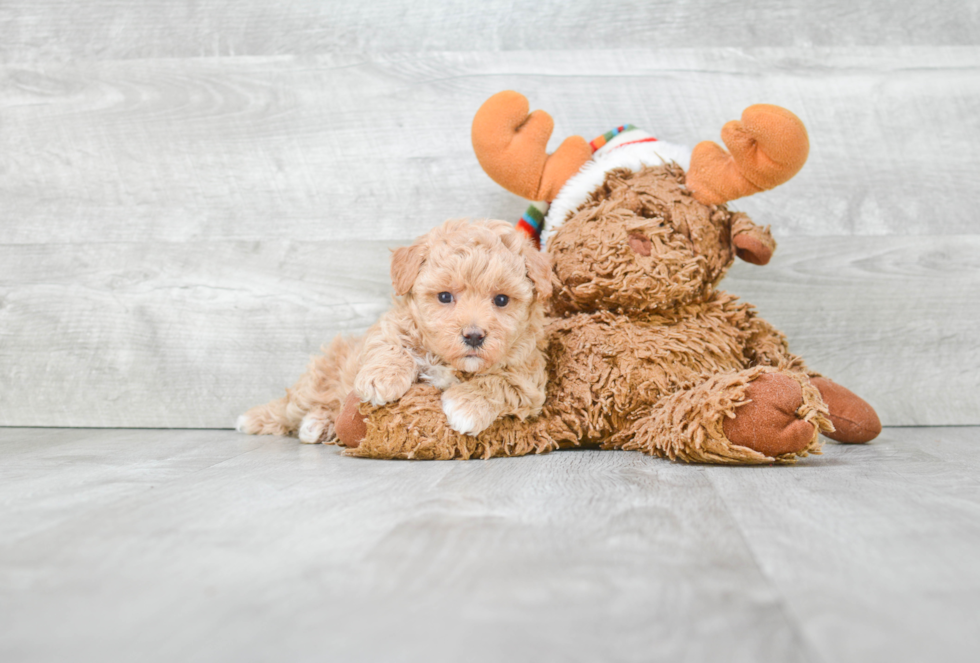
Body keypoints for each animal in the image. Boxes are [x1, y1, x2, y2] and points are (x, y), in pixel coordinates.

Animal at [235, 220, 552, 444]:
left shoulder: (529, 379)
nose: (474, 336)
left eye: (502, 300)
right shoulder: (389, 327)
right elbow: (391, 346)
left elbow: (499, 382)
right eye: (445, 297)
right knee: (289, 406)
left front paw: (467, 406)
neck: (449, 363)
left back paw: (319, 425)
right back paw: (252, 419)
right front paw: (382, 380)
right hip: (317, 381)